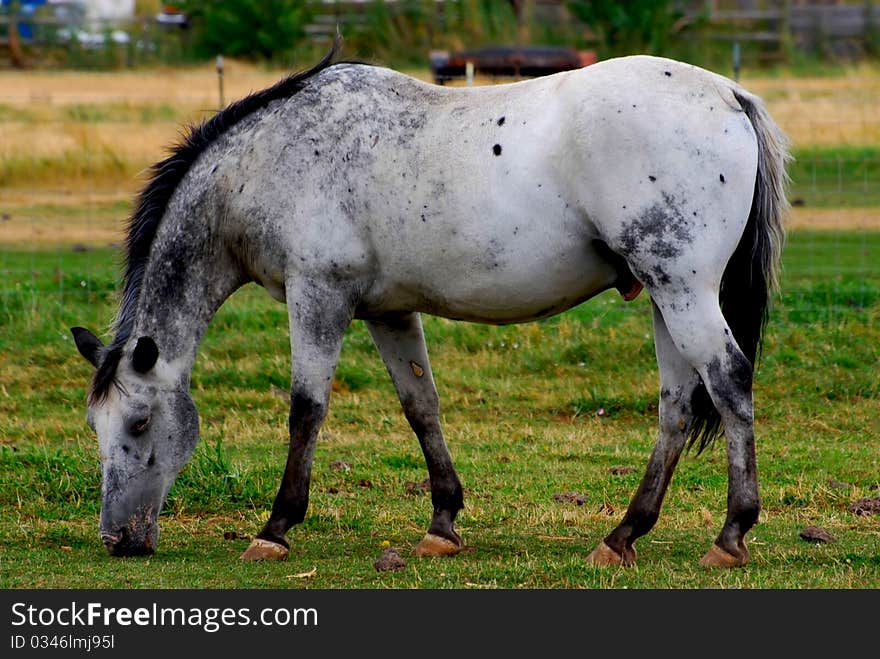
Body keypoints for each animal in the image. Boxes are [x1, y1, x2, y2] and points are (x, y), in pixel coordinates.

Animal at [69, 42, 788, 568]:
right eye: (95, 427)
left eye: (138, 423)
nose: (118, 539)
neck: (270, 158)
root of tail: (727, 94)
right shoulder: (389, 311)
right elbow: (422, 407)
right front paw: (442, 523)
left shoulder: (318, 296)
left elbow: (306, 410)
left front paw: (275, 528)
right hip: (665, 296)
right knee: (676, 406)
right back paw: (622, 536)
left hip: (683, 289)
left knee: (728, 381)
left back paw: (730, 535)